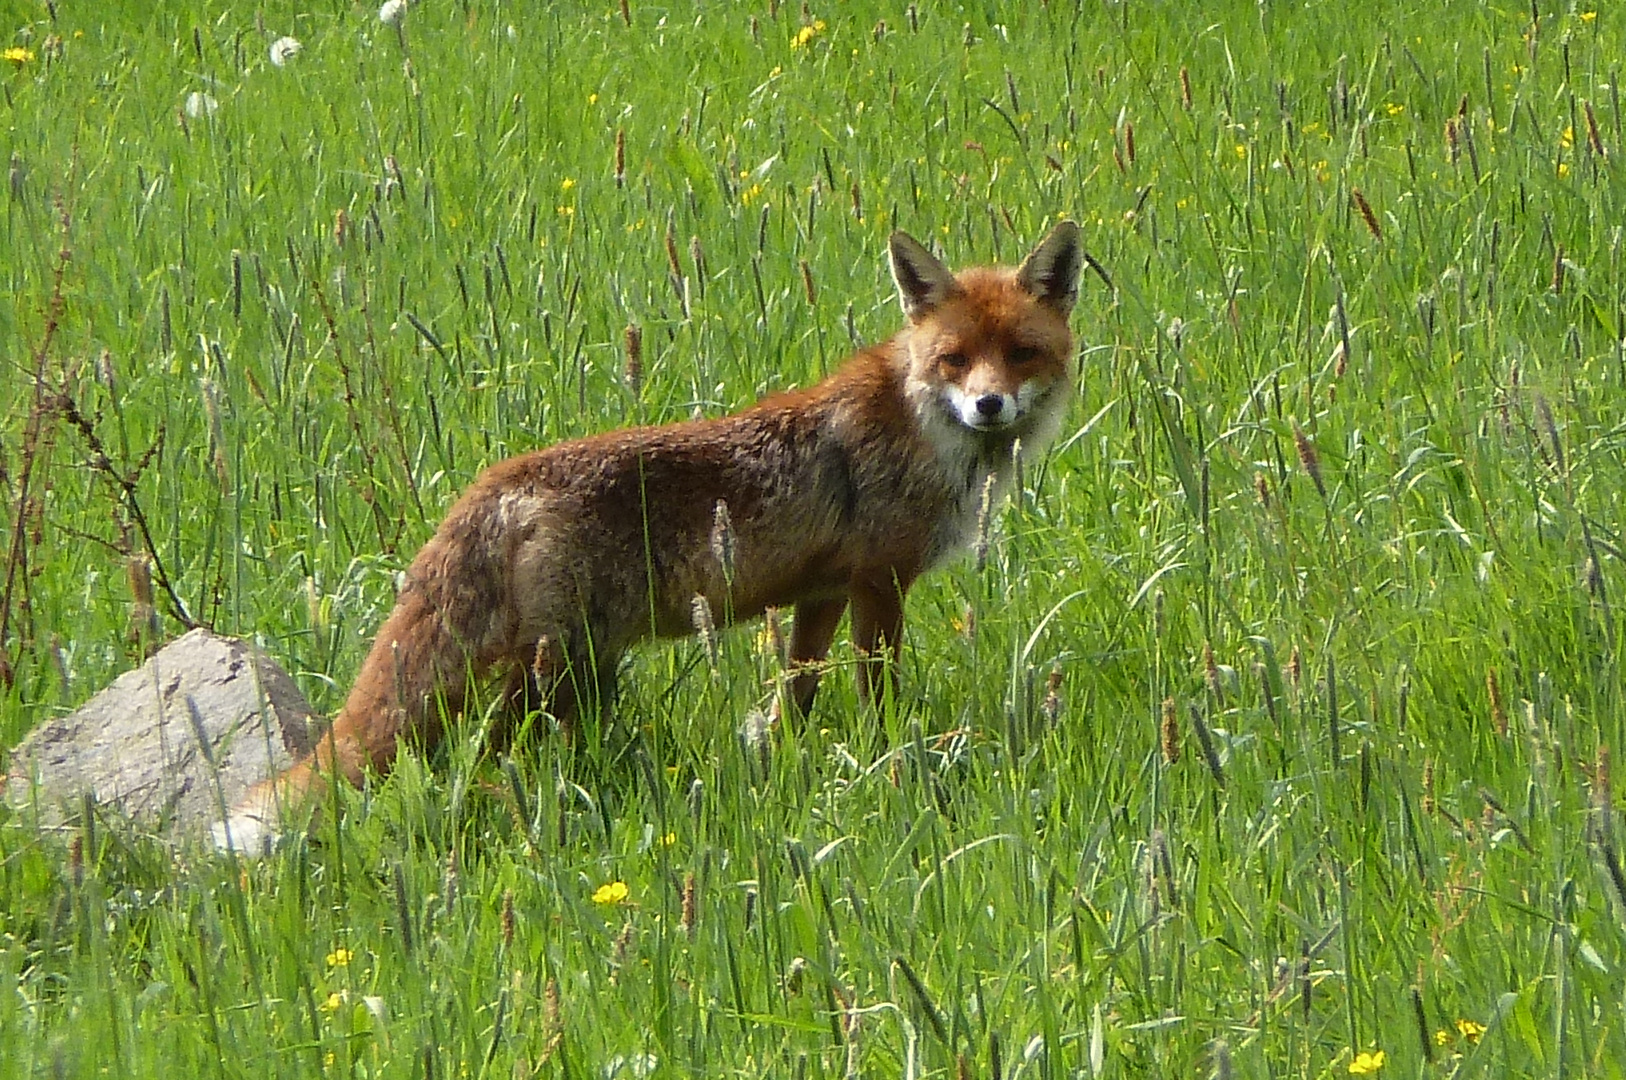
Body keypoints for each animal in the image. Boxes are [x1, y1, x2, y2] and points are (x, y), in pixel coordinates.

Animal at [213, 221, 1079, 852]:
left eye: (1021, 353)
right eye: (955, 359)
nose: (990, 406)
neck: (921, 426)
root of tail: (496, 482)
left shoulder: (823, 594)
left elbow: (796, 696)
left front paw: (785, 761)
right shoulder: (879, 582)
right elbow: (879, 694)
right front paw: (888, 757)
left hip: (568, 671)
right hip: (558, 671)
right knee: (485, 753)